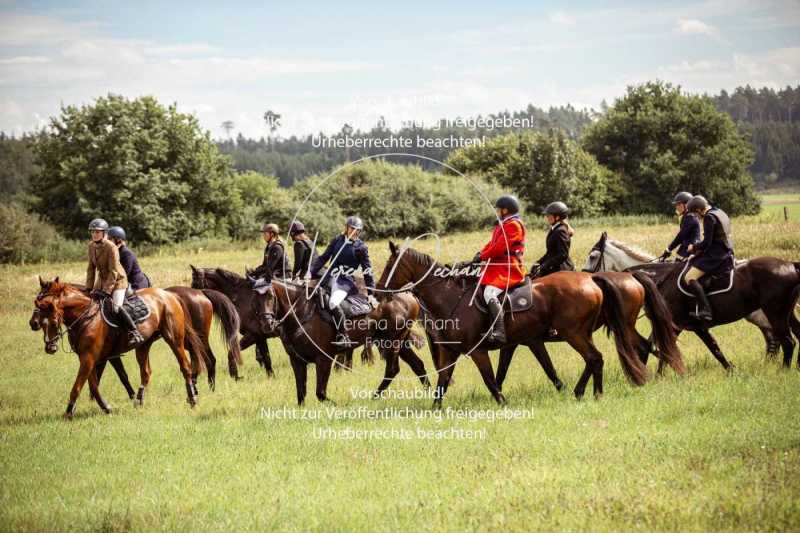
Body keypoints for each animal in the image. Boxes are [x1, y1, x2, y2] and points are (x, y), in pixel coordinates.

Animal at [34, 276, 209, 418]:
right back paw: (138, 401)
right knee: (146, 372)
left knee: (185, 367)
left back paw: (192, 399)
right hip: (143, 345)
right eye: (41, 322)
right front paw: (106, 407)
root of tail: (169, 295)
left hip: (174, 340)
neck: (85, 316)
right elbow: (93, 385)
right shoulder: (87, 358)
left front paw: (68, 412)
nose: (50, 347)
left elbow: (78, 386)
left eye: (53, 321)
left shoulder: (88, 358)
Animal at [260, 278, 432, 404]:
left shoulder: (323, 359)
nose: (266, 324)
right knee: (417, 365)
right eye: (256, 297)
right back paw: (430, 393)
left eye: (271, 296)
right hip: (397, 342)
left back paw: (374, 397)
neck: (301, 313)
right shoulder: (297, 360)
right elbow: (301, 394)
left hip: (391, 342)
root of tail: (408, 294)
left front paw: (337, 405)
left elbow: (320, 393)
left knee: (392, 369)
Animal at [378, 241, 660, 404]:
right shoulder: (463, 350)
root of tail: (592, 280)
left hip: (578, 333)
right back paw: (590, 391)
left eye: (390, 265)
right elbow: (443, 382)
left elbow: (491, 379)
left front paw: (501, 403)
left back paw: (594, 393)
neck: (451, 298)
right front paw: (435, 410)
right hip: (592, 332)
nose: (378, 291)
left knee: (597, 358)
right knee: (610, 355)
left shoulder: (480, 351)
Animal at [580, 233, 800, 370]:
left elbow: (668, 349)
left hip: (771, 313)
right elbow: (706, 348)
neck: (658, 278)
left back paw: (781, 370)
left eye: (593, 256)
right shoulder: (680, 325)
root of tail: (789, 265)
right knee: (782, 339)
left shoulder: (679, 325)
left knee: (783, 340)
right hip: (782, 313)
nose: (585, 279)